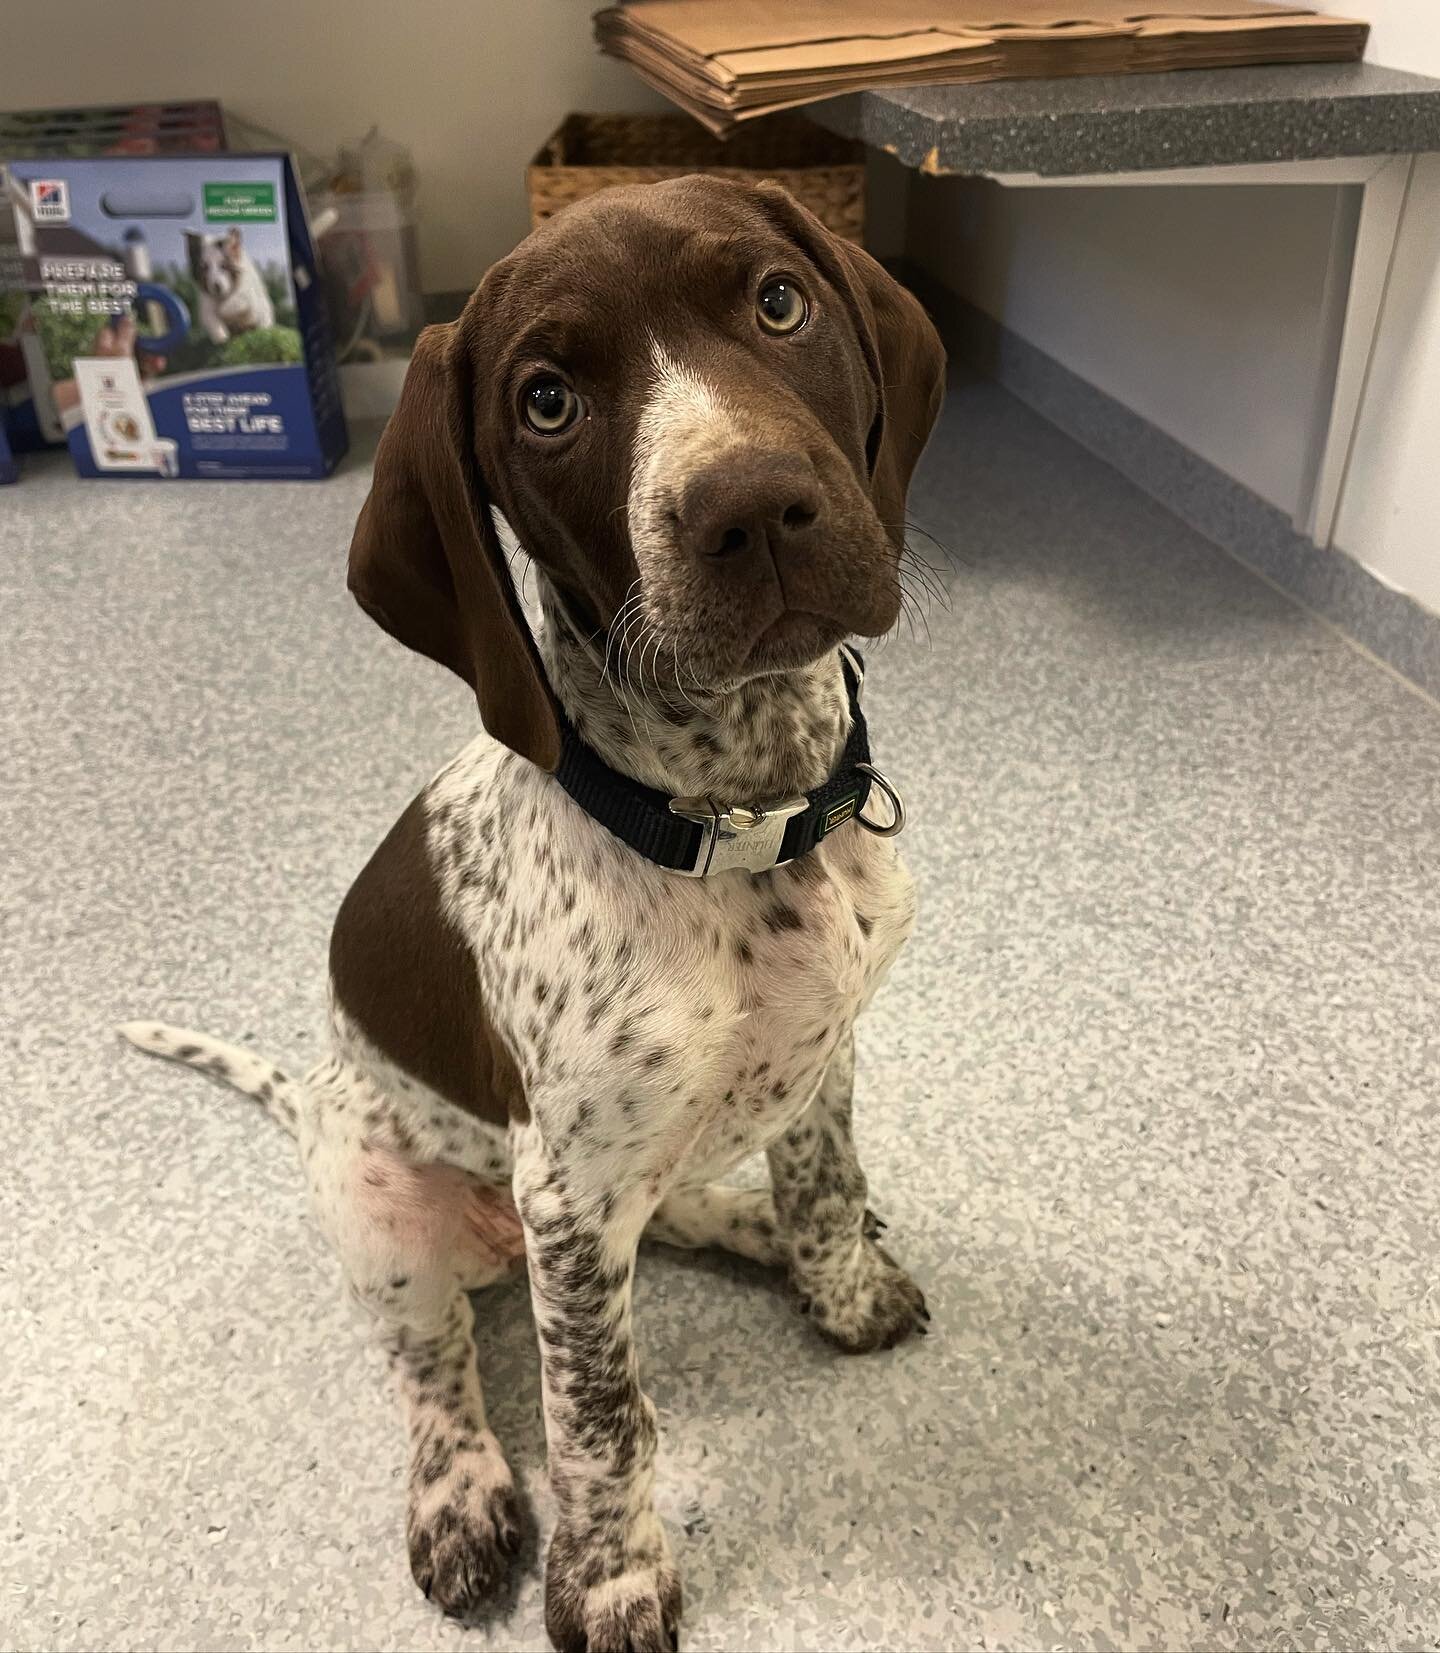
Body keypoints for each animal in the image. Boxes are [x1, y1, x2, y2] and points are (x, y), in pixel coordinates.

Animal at [123, 174, 945, 1646]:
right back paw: (460, 1491)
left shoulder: (826, 1055)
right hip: (390, 1206)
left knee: (672, 1221)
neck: (735, 825)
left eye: (777, 301)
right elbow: (599, 1423)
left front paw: (837, 1283)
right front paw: (613, 1579)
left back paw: (748, 1233)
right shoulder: (570, 1186)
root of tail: (311, 1100)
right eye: (547, 401)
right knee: (441, 1366)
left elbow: (824, 1184)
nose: (754, 507)